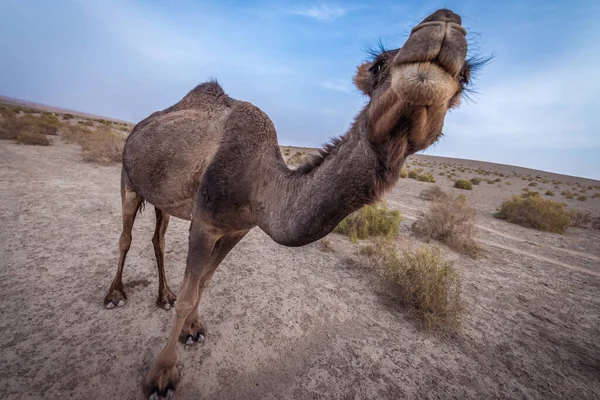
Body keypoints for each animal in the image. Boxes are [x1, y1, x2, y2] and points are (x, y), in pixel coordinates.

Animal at [102, 8, 478, 396]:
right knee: (126, 237)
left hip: (161, 195)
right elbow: (191, 291)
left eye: (466, 77)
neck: (258, 181)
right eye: (377, 65)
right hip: (128, 179)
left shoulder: (238, 228)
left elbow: (205, 281)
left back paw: (164, 295)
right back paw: (115, 294)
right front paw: (162, 374)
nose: (444, 22)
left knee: (158, 238)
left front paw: (193, 329)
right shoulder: (205, 223)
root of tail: (139, 126)